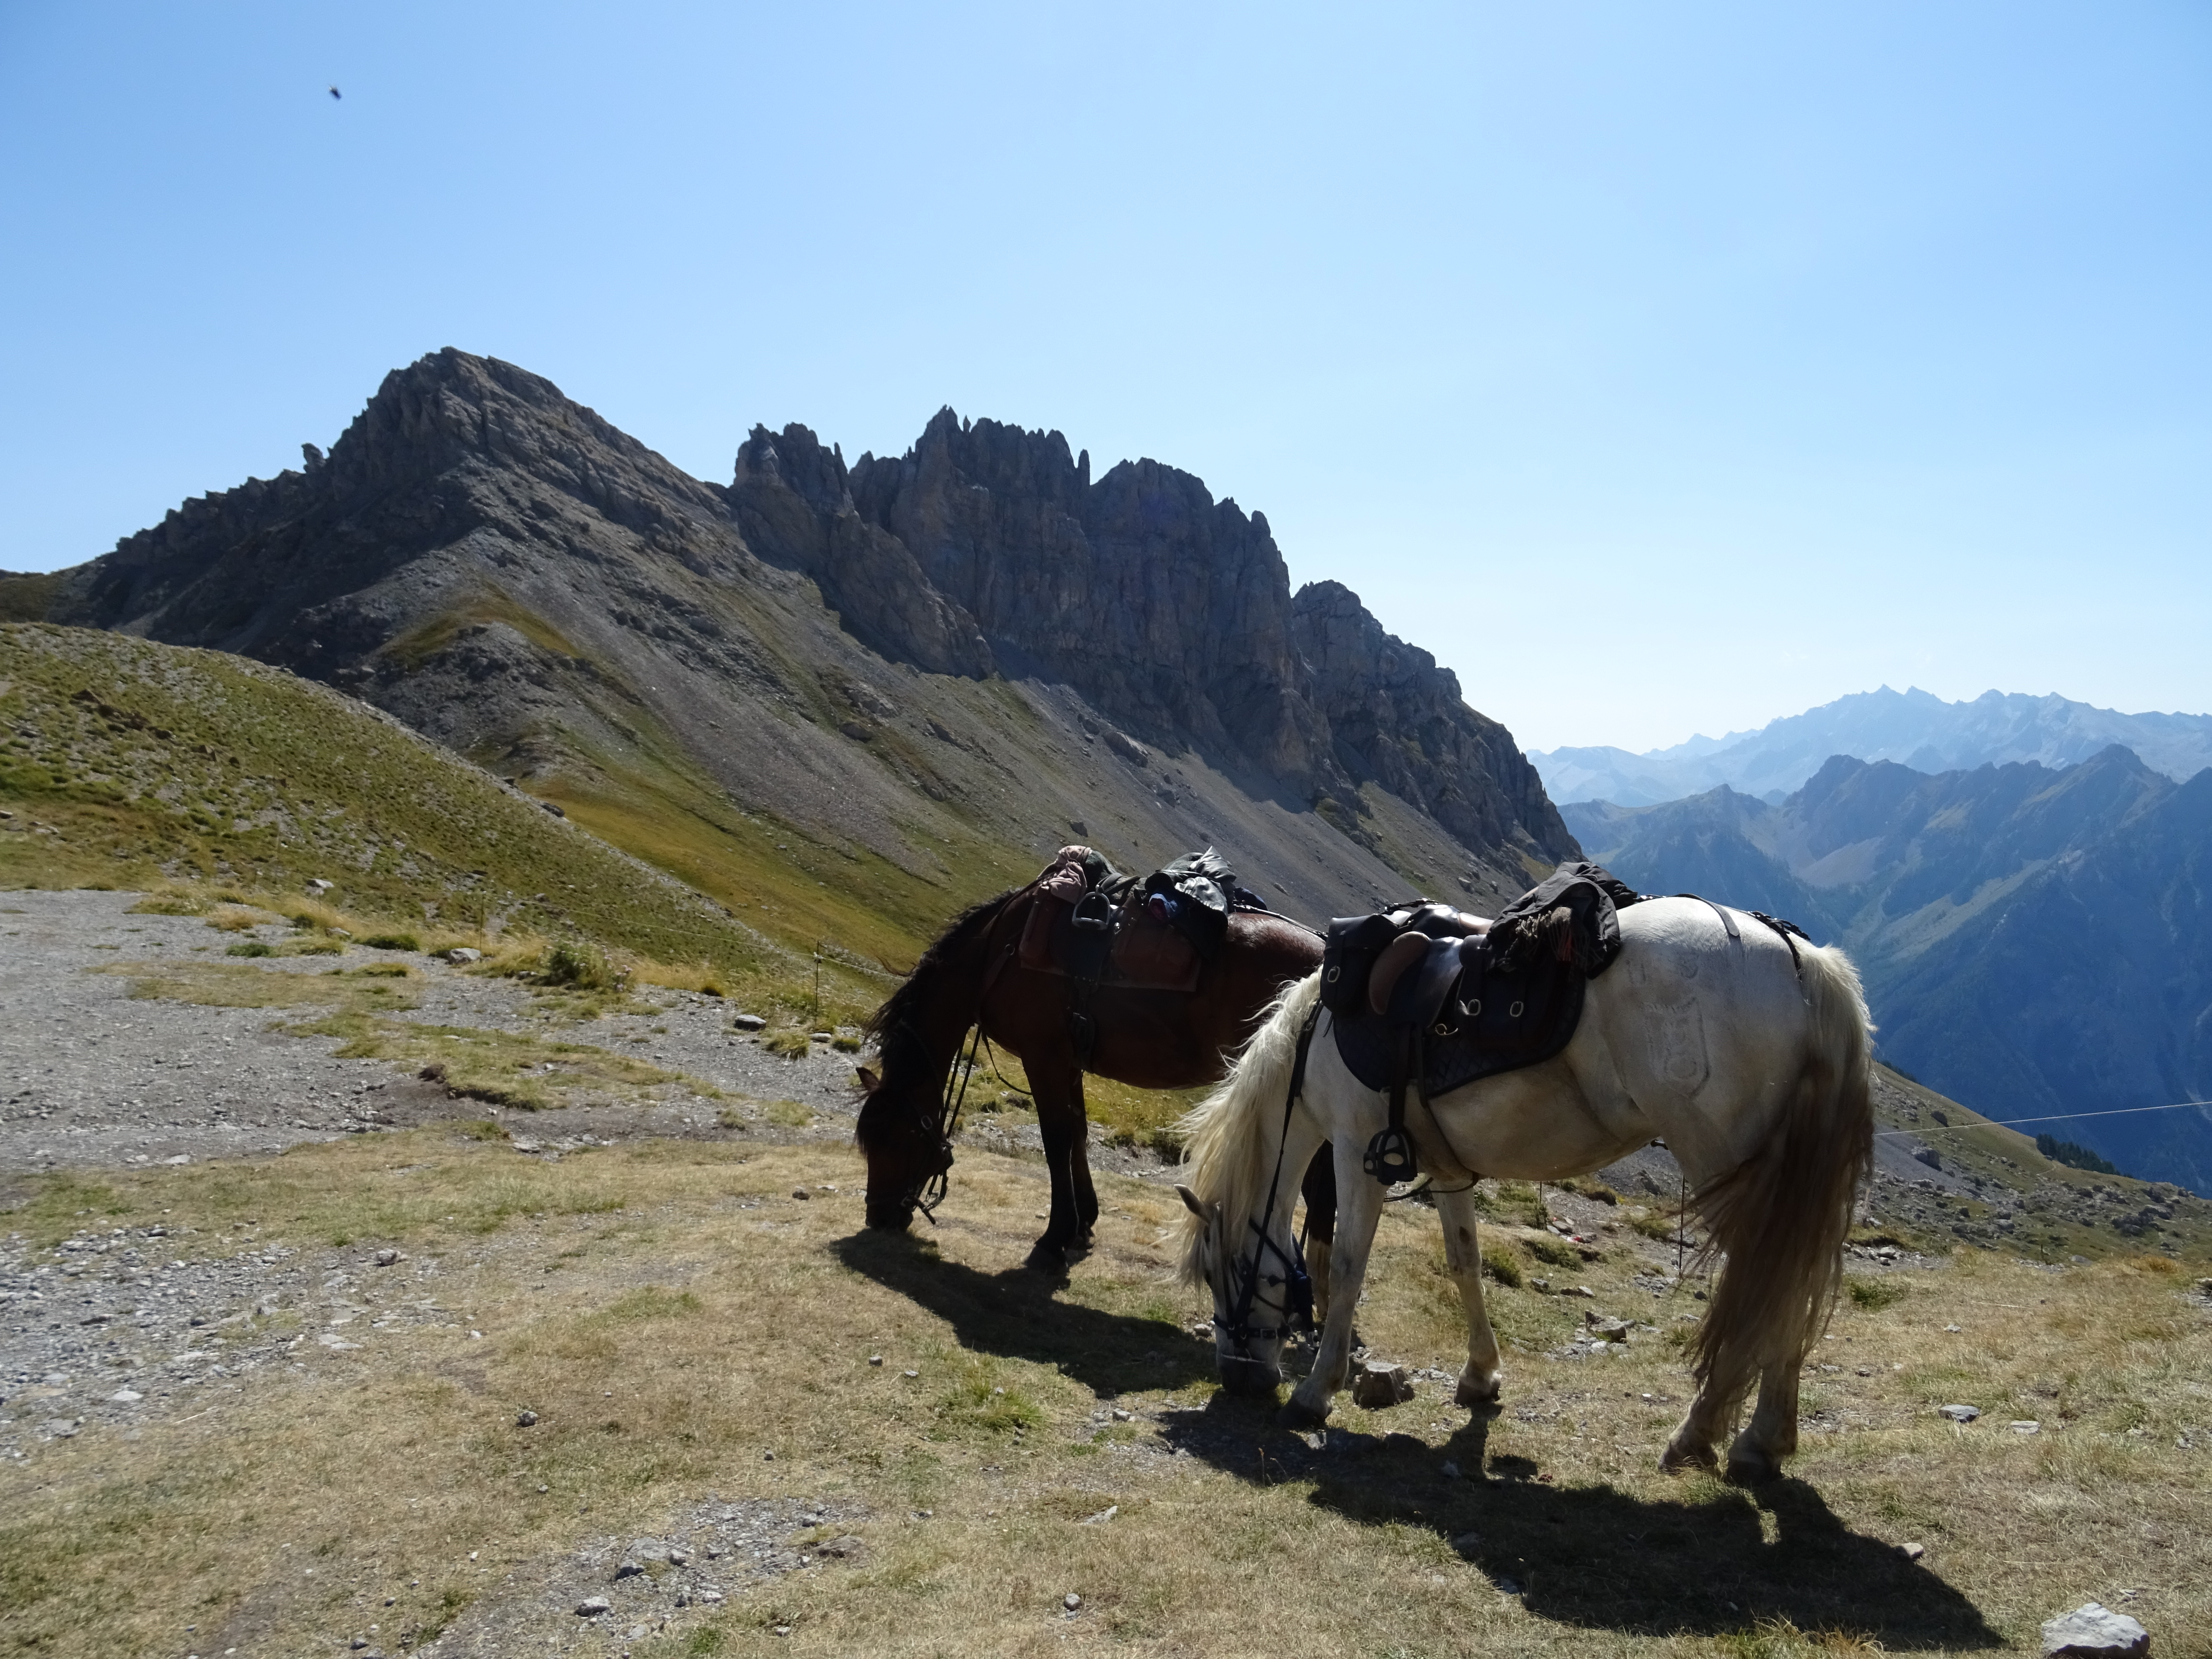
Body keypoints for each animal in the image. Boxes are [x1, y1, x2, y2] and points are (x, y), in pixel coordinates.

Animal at [854, 889, 1318, 1265]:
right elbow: (1078, 1131)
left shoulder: (1043, 1057)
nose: (878, 1216)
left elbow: (1056, 1140)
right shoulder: (1070, 1060)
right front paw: (1084, 1224)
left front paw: (1054, 1239)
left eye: (893, 1139)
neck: (998, 955)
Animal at [1176, 902, 1867, 1486]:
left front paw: (1315, 1393)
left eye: (1217, 1272)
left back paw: (1698, 1436)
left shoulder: (1354, 1150)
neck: (1315, 1037)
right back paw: (1763, 1443)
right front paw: (1481, 1376)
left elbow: (1348, 1269)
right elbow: (1466, 1261)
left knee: (1769, 1288)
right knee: (1792, 1282)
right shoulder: (1444, 1165)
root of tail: (1804, 961)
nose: (1239, 1379)